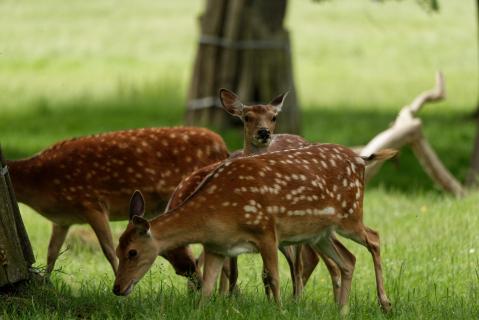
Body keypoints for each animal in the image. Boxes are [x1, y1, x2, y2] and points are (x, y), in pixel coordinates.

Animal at [7, 126, 229, 284]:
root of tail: (223, 147)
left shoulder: (91, 201)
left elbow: (108, 250)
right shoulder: (62, 220)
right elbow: (52, 252)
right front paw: (46, 281)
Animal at [114, 143, 396, 312]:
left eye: (132, 252)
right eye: (117, 251)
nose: (117, 288)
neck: (216, 212)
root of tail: (360, 159)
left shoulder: (266, 231)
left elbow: (273, 277)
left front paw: (280, 311)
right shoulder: (217, 247)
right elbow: (208, 287)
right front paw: (200, 311)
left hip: (350, 215)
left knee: (374, 238)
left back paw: (384, 302)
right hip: (320, 233)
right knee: (348, 260)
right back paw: (342, 310)